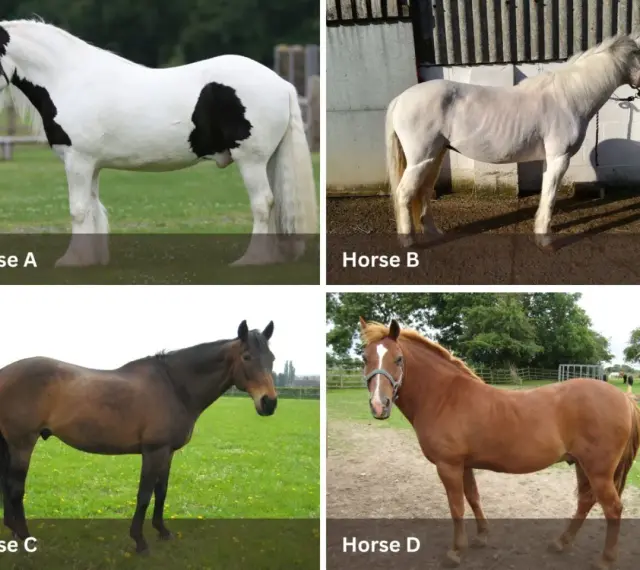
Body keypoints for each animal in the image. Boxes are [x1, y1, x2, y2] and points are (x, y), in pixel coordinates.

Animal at [0, 20, 317, 267]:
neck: (70, 80)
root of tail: (282, 84)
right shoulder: (91, 165)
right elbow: (93, 208)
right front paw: (92, 259)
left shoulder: (78, 161)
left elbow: (78, 210)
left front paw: (72, 260)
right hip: (267, 160)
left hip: (251, 160)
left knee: (262, 203)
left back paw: (252, 259)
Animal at [0, 319, 277, 553]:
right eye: (247, 356)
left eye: (272, 358)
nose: (269, 403)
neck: (174, 386)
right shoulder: (154, 451)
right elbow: (144, 494)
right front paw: (140, 540)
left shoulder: (167, 452)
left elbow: (161, 491)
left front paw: (162, 531)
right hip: (22, 443)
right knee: (15, 488)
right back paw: (25, 537)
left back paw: (13, 532)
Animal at [359, 317, 640, 570]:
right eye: (364, 358)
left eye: (398, 359)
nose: (379, 405)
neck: (444, 396)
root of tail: (623, 398)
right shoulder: (464, 465)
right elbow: (473, 497)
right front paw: (482, 536)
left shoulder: (448, 465)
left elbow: (456, 506)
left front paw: (456, 552)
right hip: (582, 465)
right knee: (585, 501)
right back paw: (561, 542)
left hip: (598, 470)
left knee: (613, 508)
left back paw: (605, 560)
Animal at [385, 33, 640, 250]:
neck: (569, 97)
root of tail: (399, 99)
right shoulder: (559, 158)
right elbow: (550, 198)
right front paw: (546, 241)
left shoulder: (550, 159)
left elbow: (546, 194)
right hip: (421, 159)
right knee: (404, 193)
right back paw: (409, 243)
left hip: (435, 156)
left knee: (423, 191)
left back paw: (434, 233)